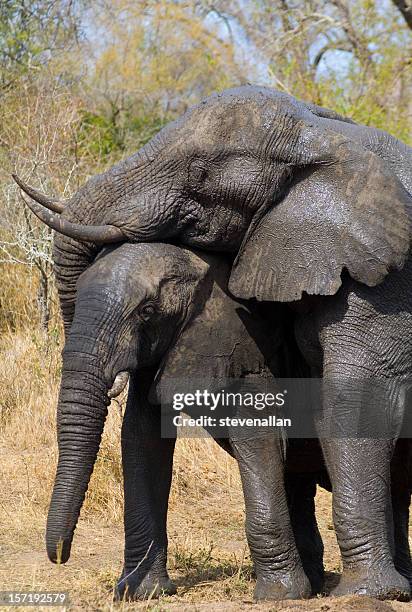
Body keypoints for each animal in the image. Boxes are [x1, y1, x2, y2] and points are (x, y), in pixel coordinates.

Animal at [44, 240, 332, 604]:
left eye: (147, 311)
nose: (60, 557)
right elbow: (141, 436)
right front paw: (143, 592)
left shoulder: (242, 339)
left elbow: (257, 433)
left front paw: (281, 596)